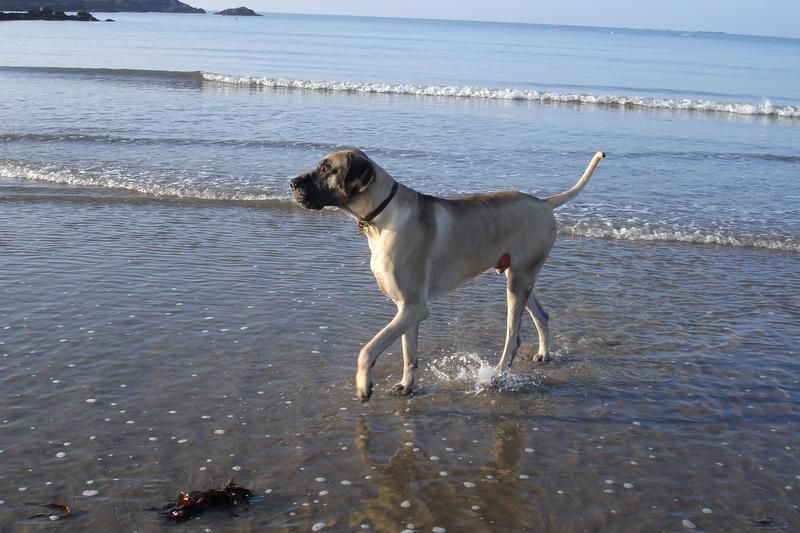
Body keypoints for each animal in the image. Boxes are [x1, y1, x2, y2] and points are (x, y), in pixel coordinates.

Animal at [290, 149, 605, 401]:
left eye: (326, 169)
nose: (292, 183)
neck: (382, 217)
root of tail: (544, 203)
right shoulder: (407, 309)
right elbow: (408, 353)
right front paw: (406, 385)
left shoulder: (414, 307)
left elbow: (367, 350)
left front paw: (364, 385)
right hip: (520, 277)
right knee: (542, 315)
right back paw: (544, 354)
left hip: (517, 284)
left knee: (513, 337)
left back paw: (496, 375)